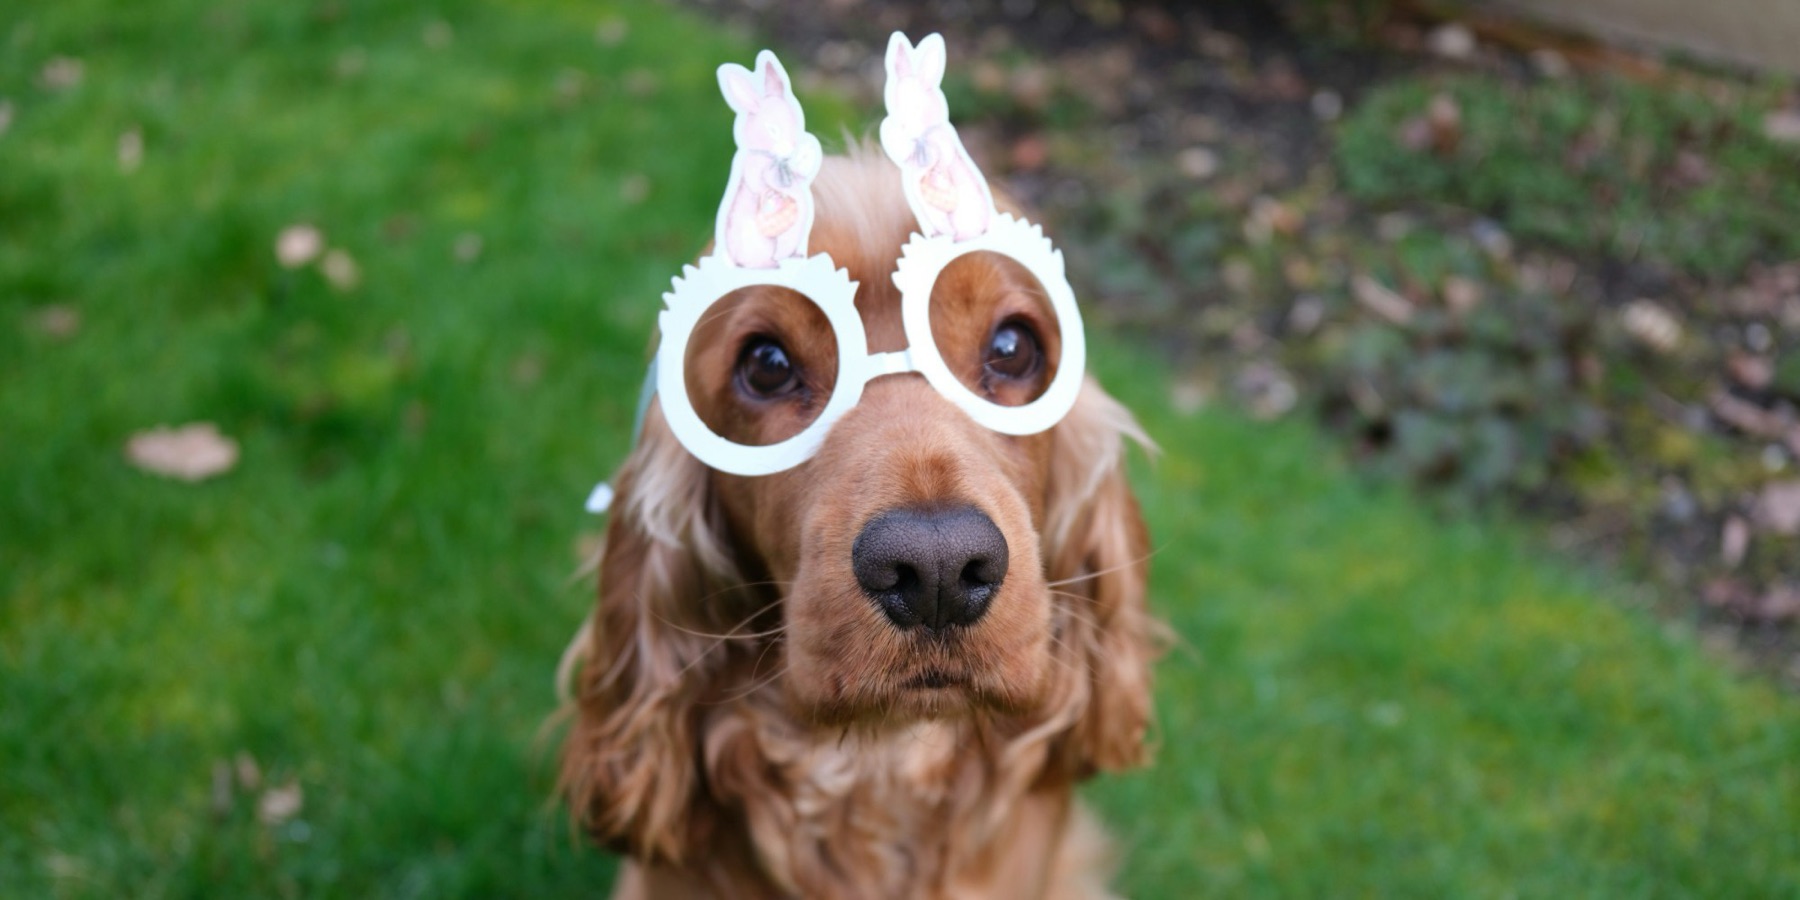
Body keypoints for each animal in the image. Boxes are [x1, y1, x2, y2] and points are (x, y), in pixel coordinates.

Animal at [715, 51, 822, 269]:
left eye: (795, 123)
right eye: (772, 129)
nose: (790, 150)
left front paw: (807, 151)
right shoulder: (754, 168)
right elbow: (763, 181)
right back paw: (770, 264)